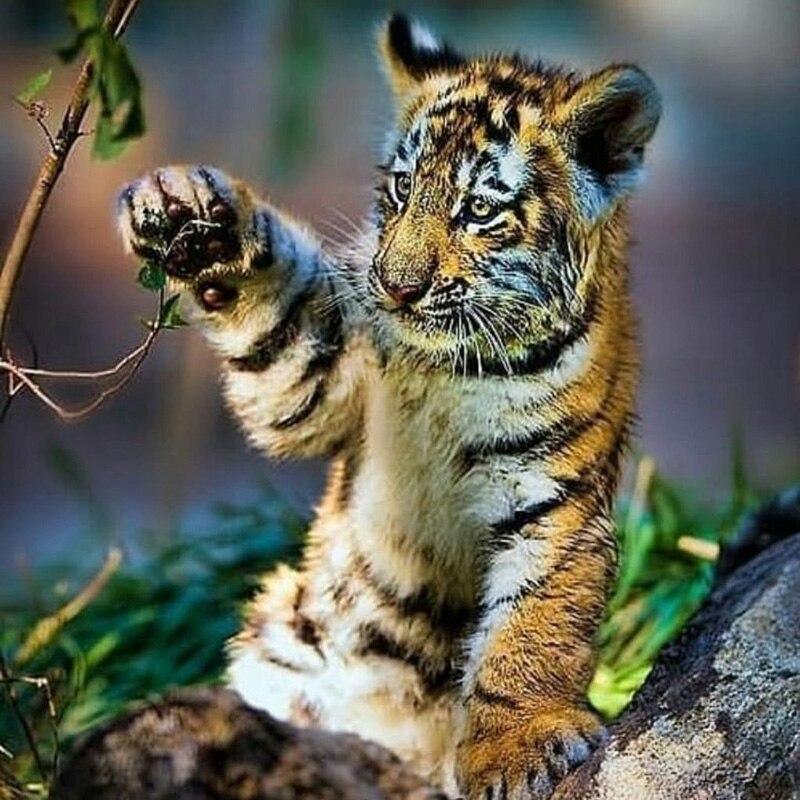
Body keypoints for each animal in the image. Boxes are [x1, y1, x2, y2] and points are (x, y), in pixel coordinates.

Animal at [116, 14, 660, 799]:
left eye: (478, 210)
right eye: (402, 188)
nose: (397, 287)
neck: (451, 366)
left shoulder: (553, 500)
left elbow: (530, 629)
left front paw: (513, 751)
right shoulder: (324, 382)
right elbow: (279, 323)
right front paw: (189, 211)